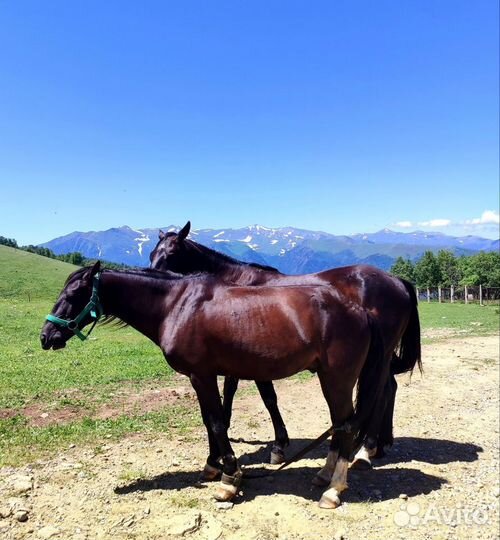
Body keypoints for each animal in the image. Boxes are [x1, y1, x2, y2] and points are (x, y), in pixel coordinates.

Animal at [41, 264, 388, 508]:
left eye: (73, 295)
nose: (47, 336)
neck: (177, 305)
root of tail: (359, 309)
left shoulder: (202, 375)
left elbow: (219, 423)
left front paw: (230, 478)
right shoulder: (202, 376)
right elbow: (210, 421)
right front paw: (212, 466)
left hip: (337, 379)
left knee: (346, 426)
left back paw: (333, 490)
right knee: (340, 424)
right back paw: (324, 475)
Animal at [148, 221, 422, 470]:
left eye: (171, 253)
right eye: (152, 254)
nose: (152, 273)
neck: (234, 286)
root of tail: (398, 281)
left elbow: (266, 397)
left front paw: (277, 445)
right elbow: (235, 392)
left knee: (382, 391)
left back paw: (368, 446)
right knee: (389, 388)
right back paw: (380, 443)